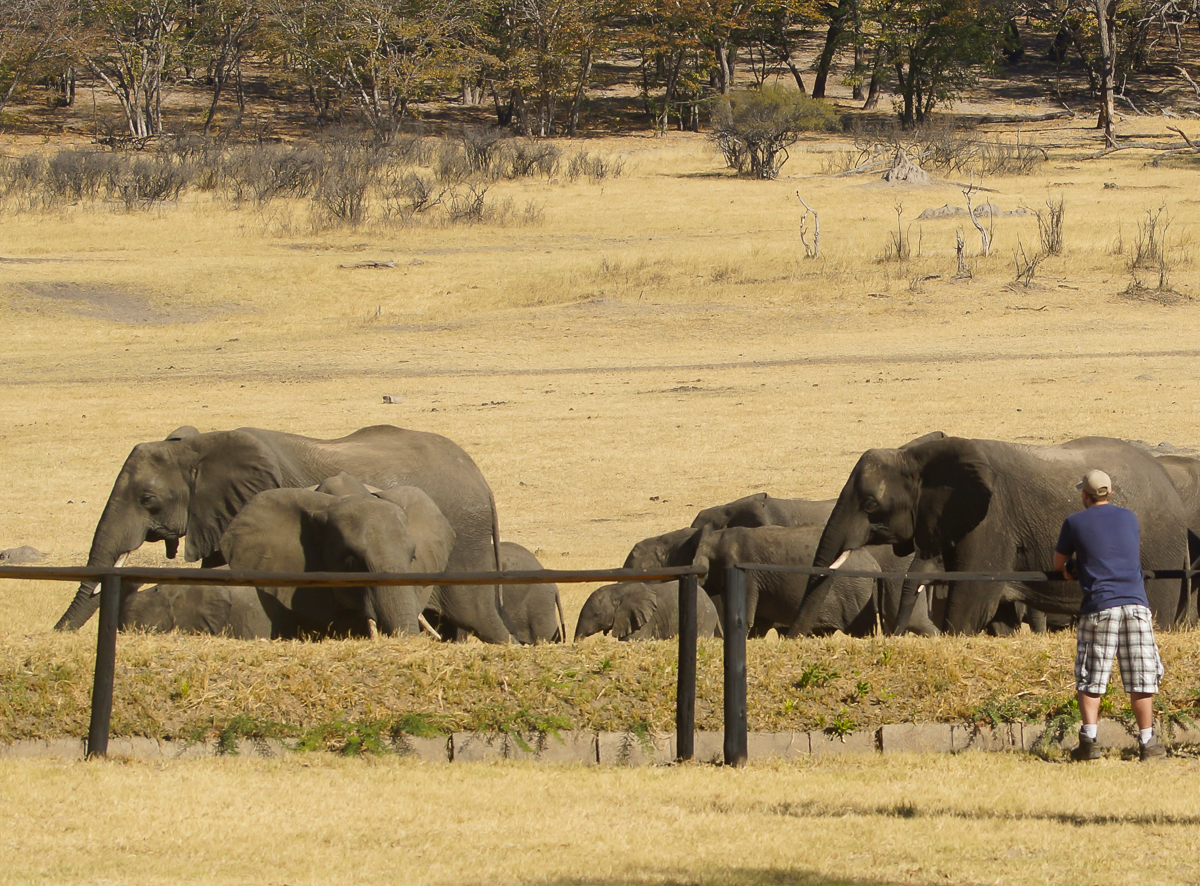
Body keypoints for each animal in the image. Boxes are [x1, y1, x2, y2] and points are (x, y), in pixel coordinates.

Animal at [801, 432, 1195, 633]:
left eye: (870, 504)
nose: (793, 639)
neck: (916, 454)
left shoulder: (993, 522)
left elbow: (970, 602)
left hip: (1159, 548)